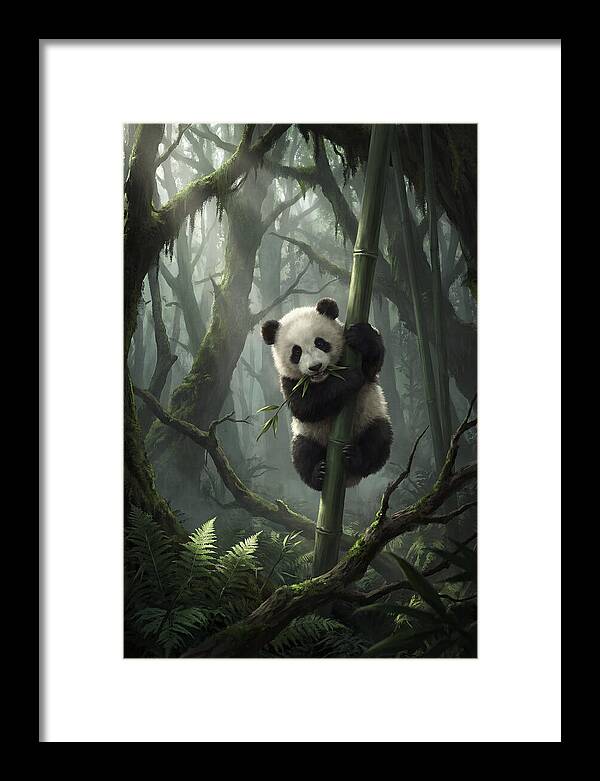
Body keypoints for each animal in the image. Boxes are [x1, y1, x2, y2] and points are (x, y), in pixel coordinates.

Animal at [261, 297, 393, 491]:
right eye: (296, 352)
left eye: (320, 343)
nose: (315, 367)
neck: (324, 378)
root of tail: (349, 479)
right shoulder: (289, 381)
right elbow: (305, 406)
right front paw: (350, 377)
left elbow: (372, 365)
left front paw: (361, 336)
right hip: (308, 434)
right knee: (302, 452)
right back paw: (318, 474)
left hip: (370, 417)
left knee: (378, 439)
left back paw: (355, 458)